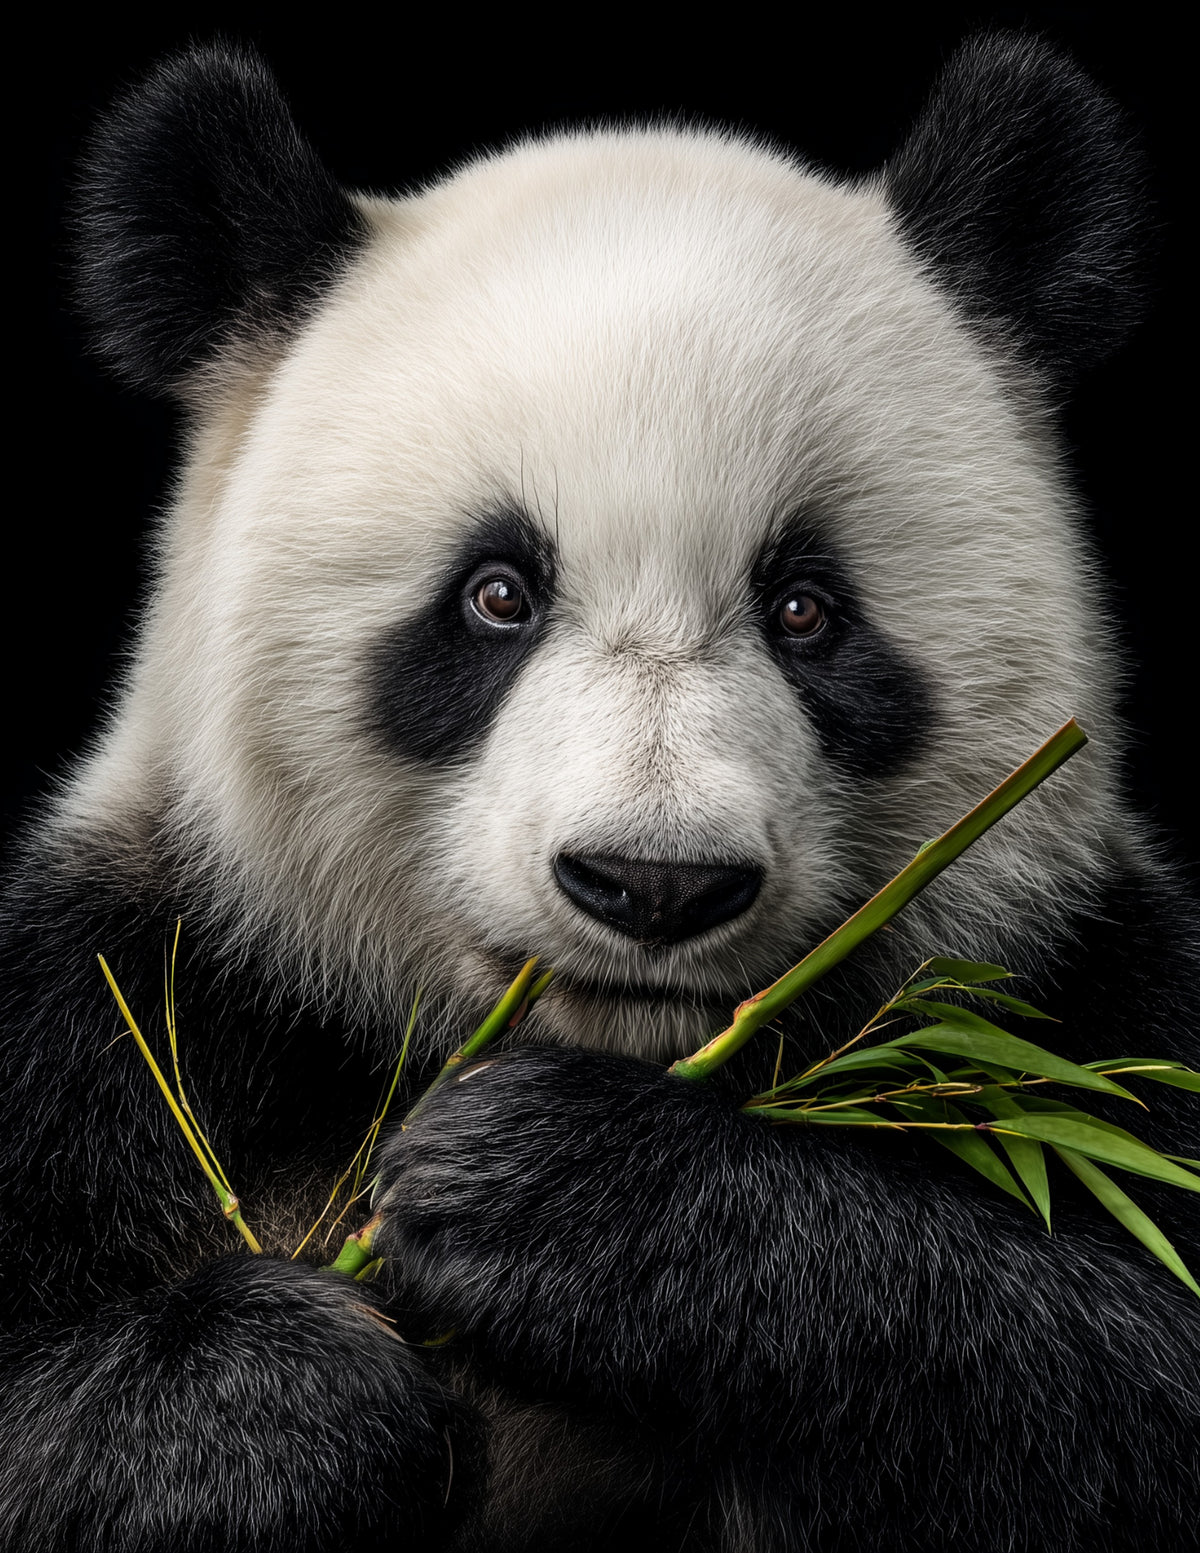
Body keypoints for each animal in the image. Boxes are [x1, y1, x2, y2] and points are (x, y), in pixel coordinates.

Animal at [3, 28, 1197, 1553]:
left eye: (806, 609)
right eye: (495, 595)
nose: (654, 882)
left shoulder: (1091, 999)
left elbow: (1115, 1369)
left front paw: (561, 1196)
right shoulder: (116, 1004)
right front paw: (293, 1391)